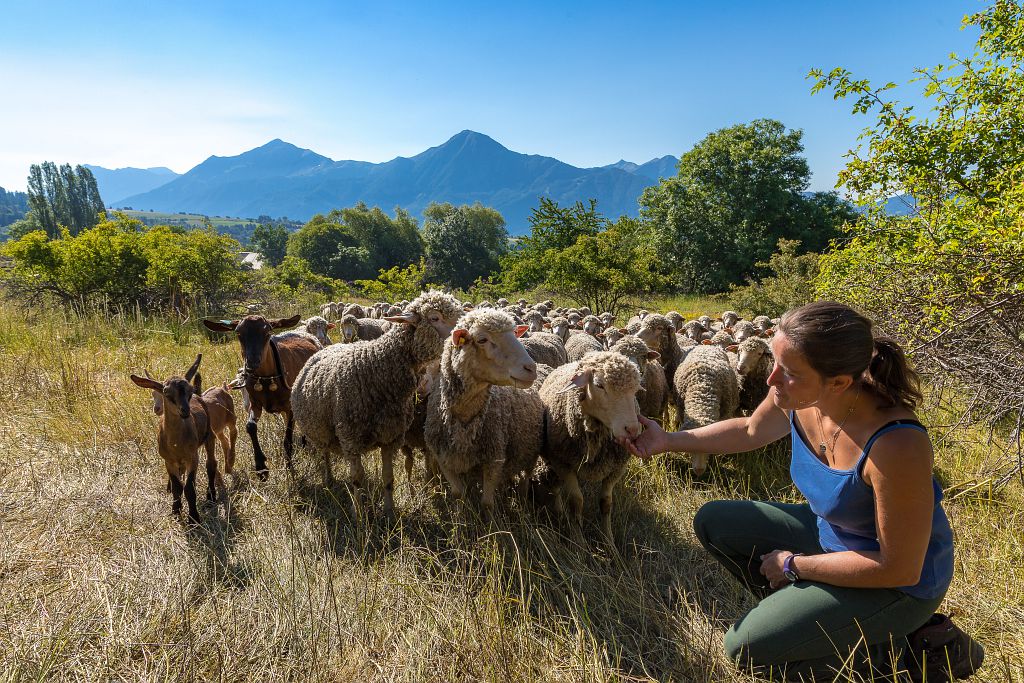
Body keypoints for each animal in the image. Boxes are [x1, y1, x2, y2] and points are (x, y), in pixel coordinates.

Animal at [130, 352, 235, 524]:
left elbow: (189, 488)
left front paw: (193, 518)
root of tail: (200, 396)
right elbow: (177, 486)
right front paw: (175, 511)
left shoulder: (192, 457)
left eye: (189, 390)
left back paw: (211, 496)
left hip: (209, 437)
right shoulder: (168, 460)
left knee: (211, 464)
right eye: (166, 393)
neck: (175, 443)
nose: (185, 411)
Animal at [203, 315, 319, 481]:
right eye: (238, 333)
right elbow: (250, 426)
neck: (266, 380)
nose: (252, 362)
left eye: (267, 332)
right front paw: (261, 468)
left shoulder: (289, 406)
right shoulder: (255, 404)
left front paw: (289, 468)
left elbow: (288, 440)